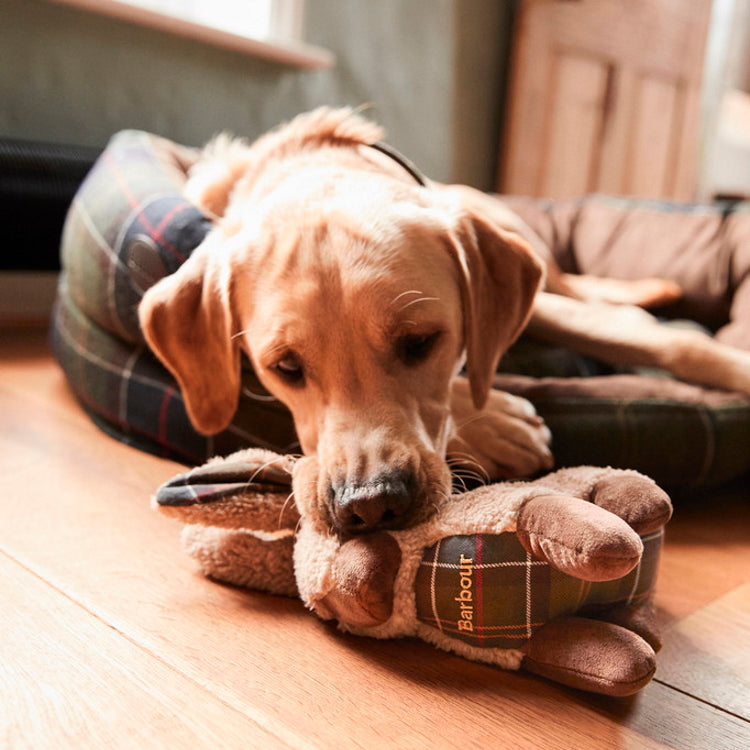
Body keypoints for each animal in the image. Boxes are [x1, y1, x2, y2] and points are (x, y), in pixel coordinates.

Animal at [140, 108, 750, 536]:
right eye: (285, 367)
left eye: (420, 341)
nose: (371, 505)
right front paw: (499, 422)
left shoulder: (539, 304)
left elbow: (678, 348)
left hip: (533, 258)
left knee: (602, 297)